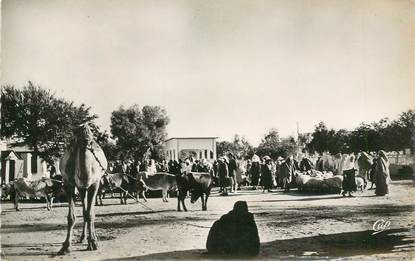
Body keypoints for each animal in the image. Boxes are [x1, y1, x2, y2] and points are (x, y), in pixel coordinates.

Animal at [57, 124, 108, 254]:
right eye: (78, 134)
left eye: (91, 134)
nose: (87, 141)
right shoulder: (69, 184)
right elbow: (71, 217)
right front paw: (66, 246)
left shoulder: (94, 184)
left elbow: (90, 214)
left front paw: (93, 243)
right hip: (81, 189)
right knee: (84, 210)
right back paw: (83, 237)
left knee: (89, 212)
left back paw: (92, 238)